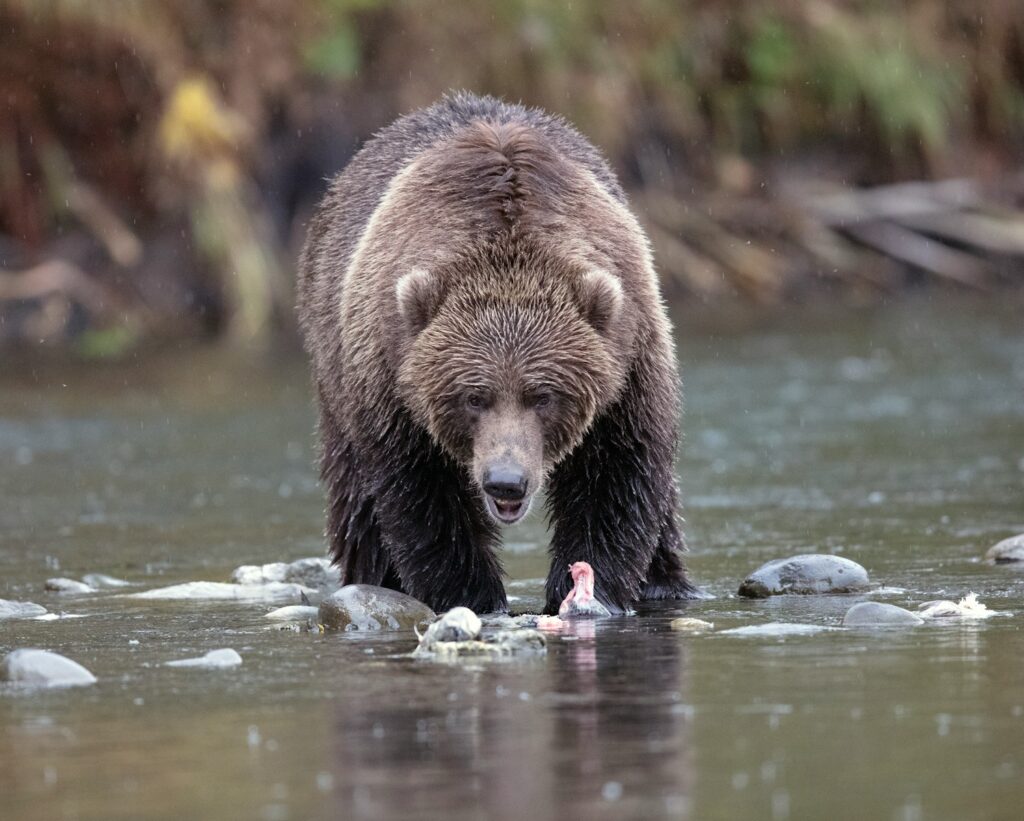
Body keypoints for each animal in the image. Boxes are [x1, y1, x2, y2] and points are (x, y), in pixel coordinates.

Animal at [297, 91, 697, 615]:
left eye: (544, 395)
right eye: (473, 397)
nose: (506, 481)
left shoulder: (628, 364)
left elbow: (616, 478)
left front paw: (591, 590)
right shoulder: (391, 378)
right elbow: (423, 497)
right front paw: (474, 594)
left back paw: (665, 581)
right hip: (334, 366)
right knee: (358, 499)